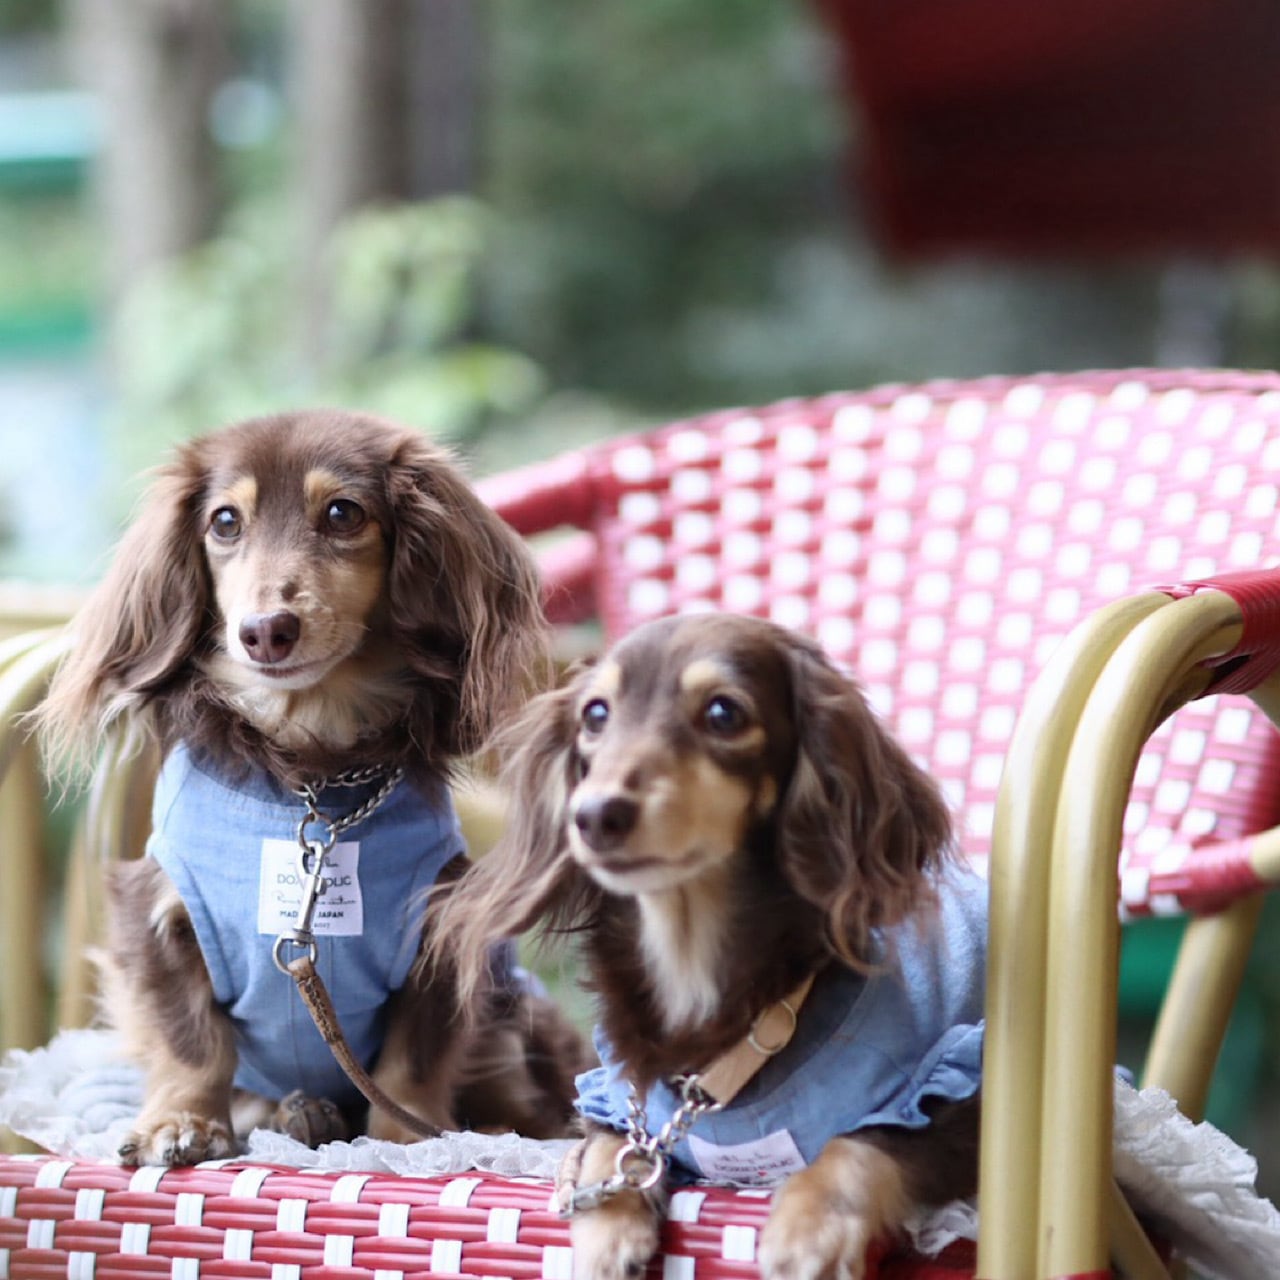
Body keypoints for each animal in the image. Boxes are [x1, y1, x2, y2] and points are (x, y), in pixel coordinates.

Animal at [38, 409, 586, 1166]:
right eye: (225, 521)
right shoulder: (158, 912)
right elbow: (190, 1040)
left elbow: (415, 1058)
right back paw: (301, 1113)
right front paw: (181, 1121)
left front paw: (405, 1137)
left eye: (342, 513)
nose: (265, 631)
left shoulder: (442, 928)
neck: (309, 769)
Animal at [432, 612, 987, 1280]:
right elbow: (613, 1146)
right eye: (596, 714)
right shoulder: (617, 1100)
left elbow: (864, 1142)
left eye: (724, 713)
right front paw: (607, 1226)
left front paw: (811, 1226)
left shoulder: (959, 1094)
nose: (593, 816)